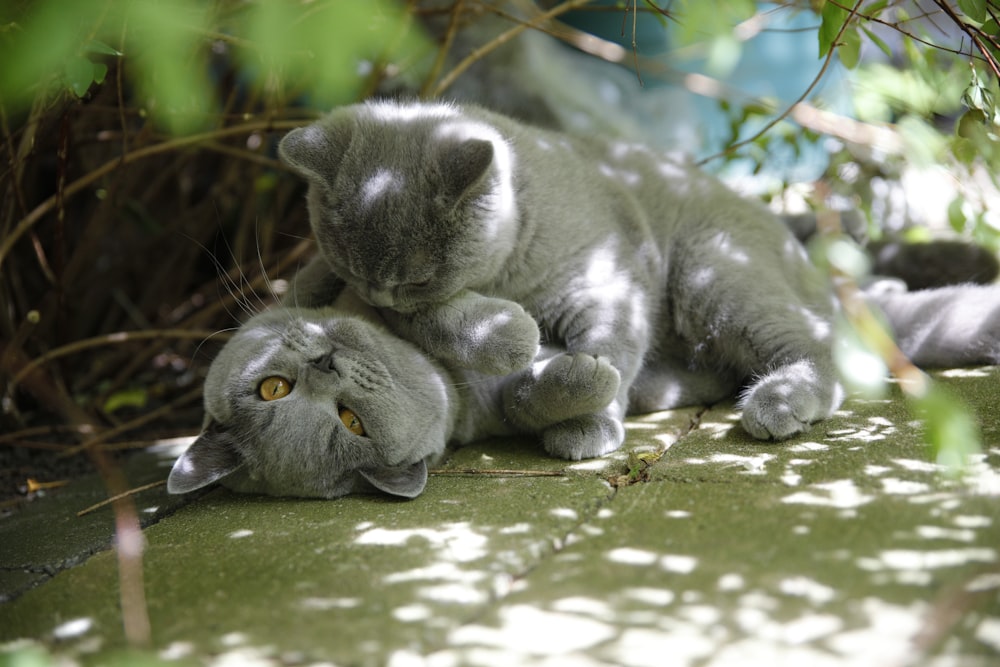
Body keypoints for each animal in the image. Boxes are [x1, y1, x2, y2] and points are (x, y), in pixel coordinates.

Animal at [278, 102, 1000, 462]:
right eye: (353, 269)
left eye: (417, 277)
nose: (378, 297)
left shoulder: (611, 286)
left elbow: (607, 352)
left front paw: (584, 421)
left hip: (714, 271)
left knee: (822, 349)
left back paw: (779, 400)